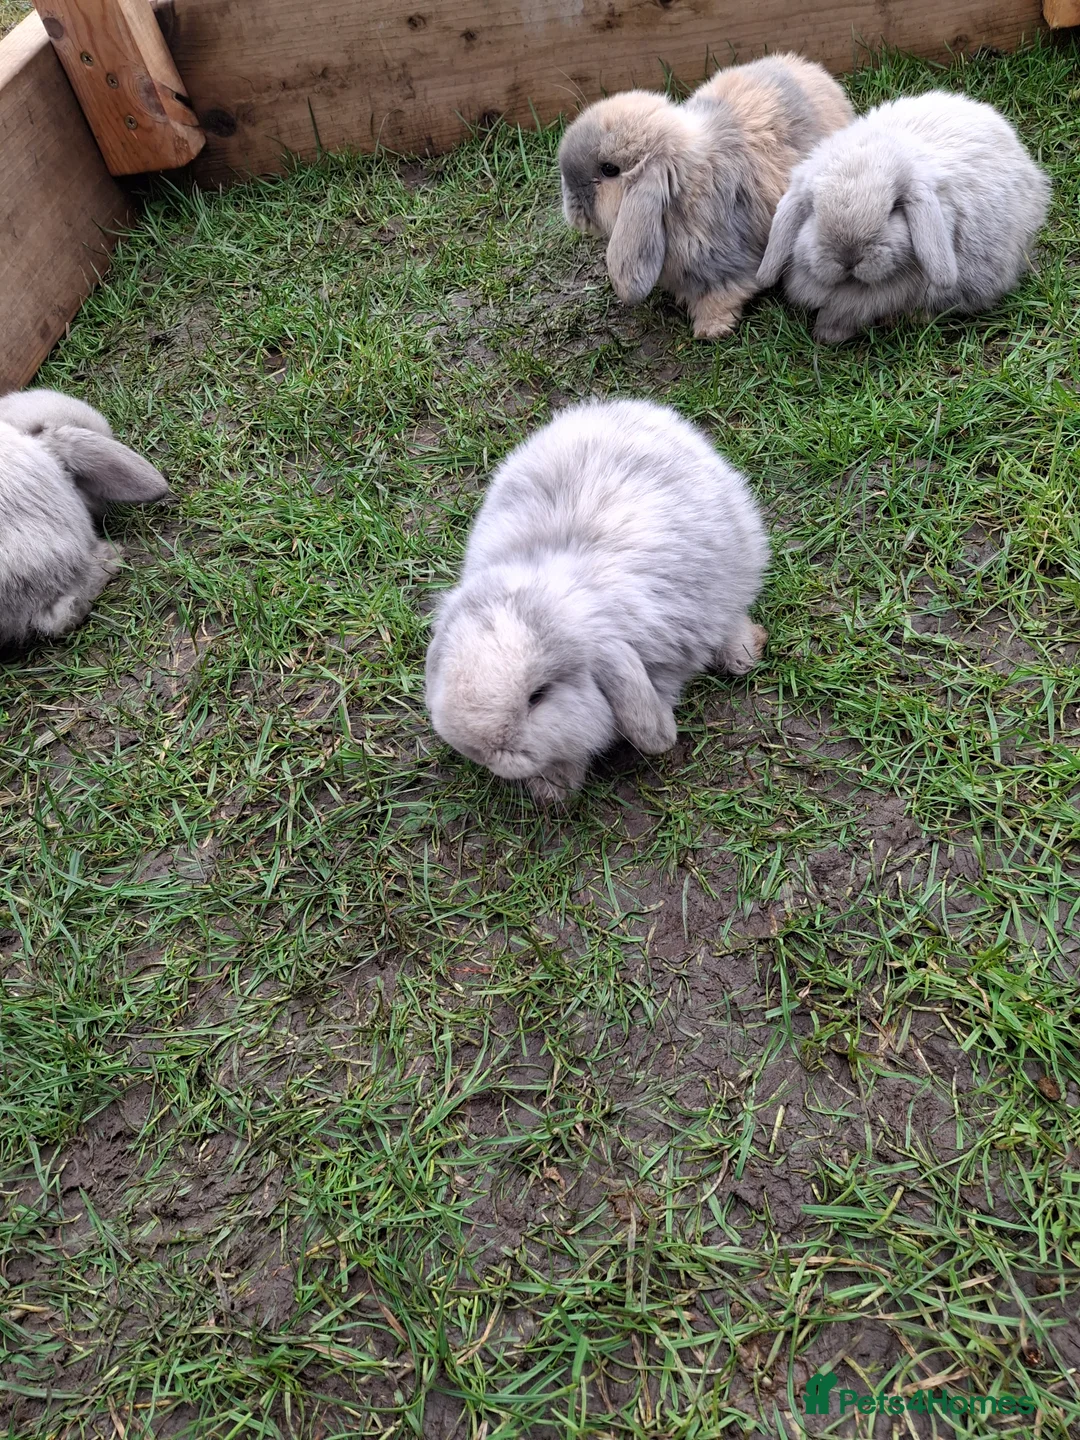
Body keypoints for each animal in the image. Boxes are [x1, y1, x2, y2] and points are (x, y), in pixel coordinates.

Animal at [425, 398, 769, 802]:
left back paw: (743, 654)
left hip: (739, 557)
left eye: (538, 696)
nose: (483, 751)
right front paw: (553, 789)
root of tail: (638, 409)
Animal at [558, 54, 854, 338]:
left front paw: (711, 331)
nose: (572, 206)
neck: (682, 187)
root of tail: (824, 79)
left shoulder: (724, 263)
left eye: (609, 169)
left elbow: (724, 294)